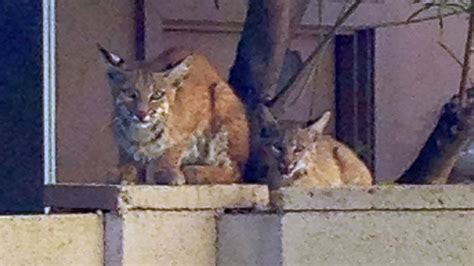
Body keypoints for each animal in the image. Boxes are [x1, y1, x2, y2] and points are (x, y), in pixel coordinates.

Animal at [98, 45, 250, 185]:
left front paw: (163, 170)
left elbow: (175, 146)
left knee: (235, 171)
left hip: (221, 95)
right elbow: (125, 161)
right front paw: (126, 169)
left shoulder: (194, 119)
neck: (142, 132)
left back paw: (194, 171)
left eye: (157, 95)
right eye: (131, 94)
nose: (142, 113)